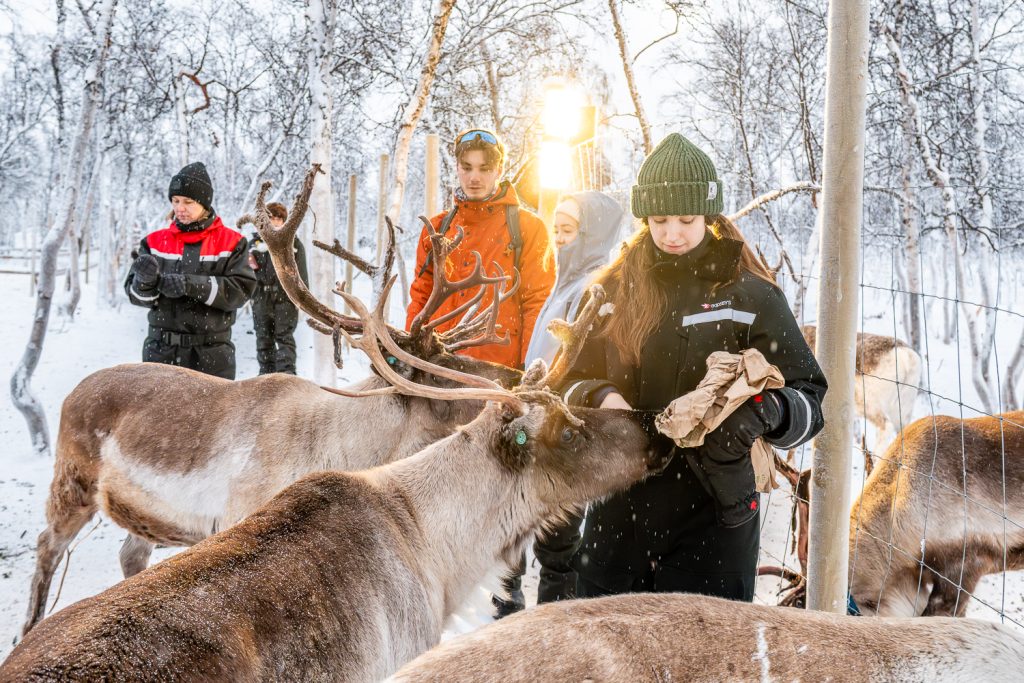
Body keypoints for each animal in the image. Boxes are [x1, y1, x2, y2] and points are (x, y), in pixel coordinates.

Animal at [19, 165, 527, 638]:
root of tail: (72, 393)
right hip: (72, 482)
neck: (348, 445)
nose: (517, 377)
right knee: (46, 545)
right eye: (439, 369)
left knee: (129, 552)